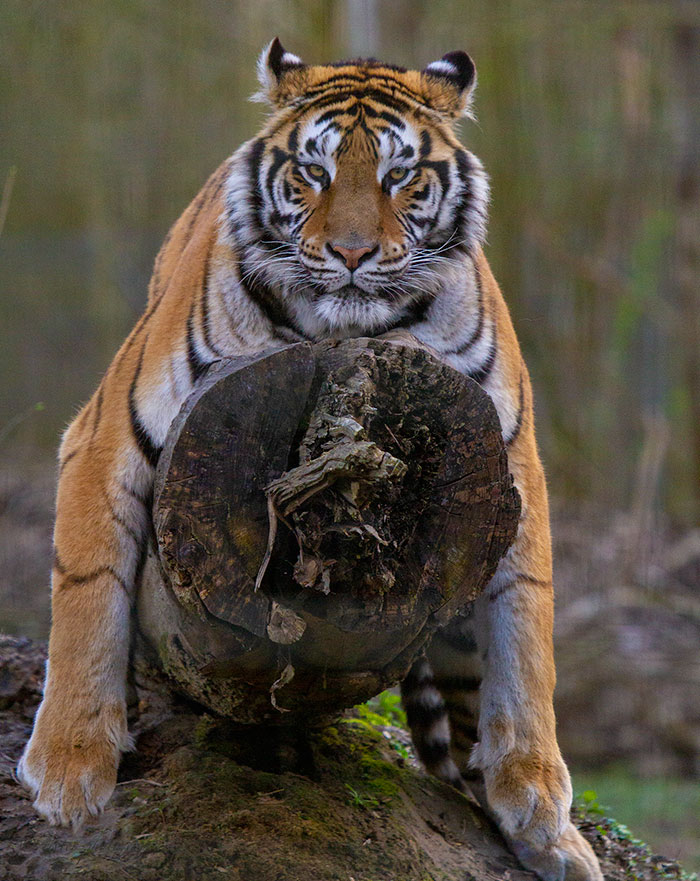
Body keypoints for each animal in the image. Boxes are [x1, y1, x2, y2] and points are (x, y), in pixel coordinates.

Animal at [18, 40, 602, 880]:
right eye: (314, 172)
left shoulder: (513, 460)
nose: (352, 253)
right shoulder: (104, 437)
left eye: (400, 176)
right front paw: (68, 775)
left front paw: (543, 816)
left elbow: (528, 633)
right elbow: (87, 595)